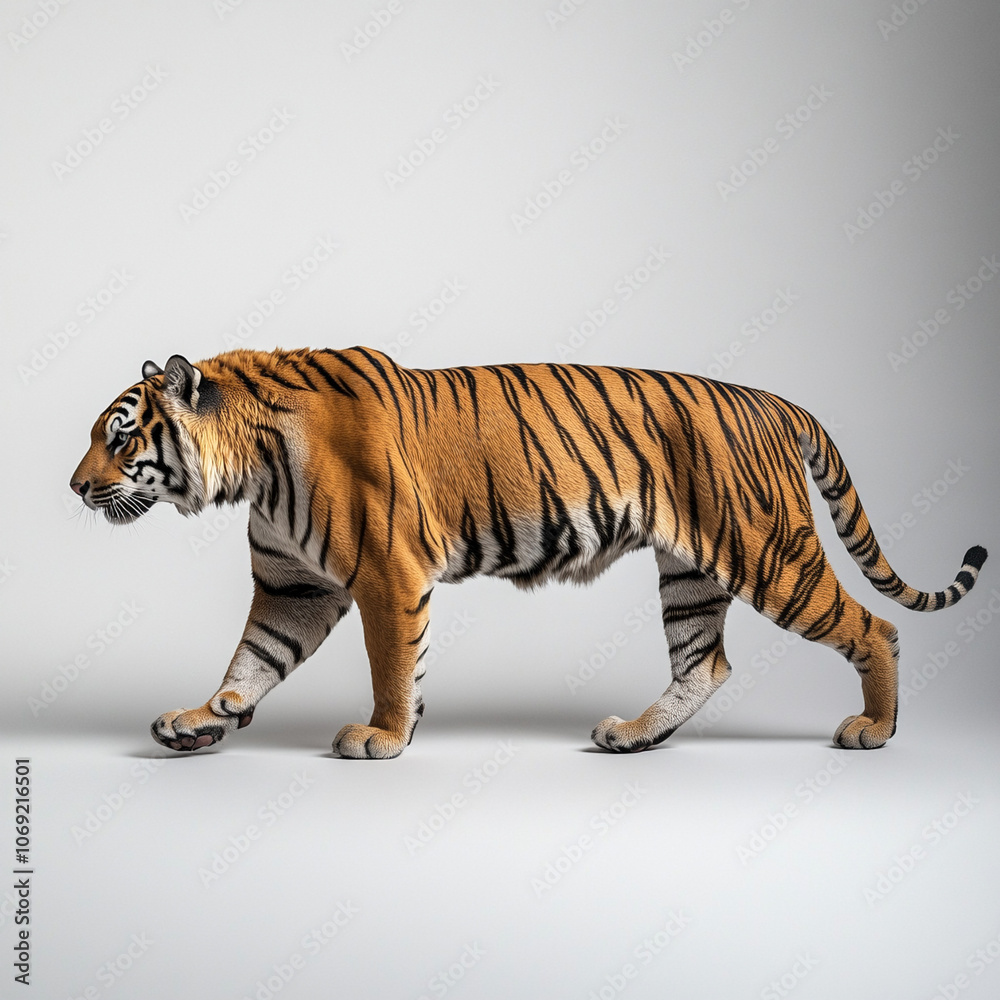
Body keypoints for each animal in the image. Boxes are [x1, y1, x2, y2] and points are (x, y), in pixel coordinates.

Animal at [70, 348, 987, 757]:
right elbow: (251, 659)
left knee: (874, 628)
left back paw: (875, 729)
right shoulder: (293, 585)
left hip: (769, 554)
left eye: (120, 438)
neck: (251, 467)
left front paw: (384, 736)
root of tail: (775, 399)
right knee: (706, 664)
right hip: (691, 572)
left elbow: (391, 665)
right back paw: (635, 735)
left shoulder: (386, 573)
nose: (76, 488)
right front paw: (204, 717)